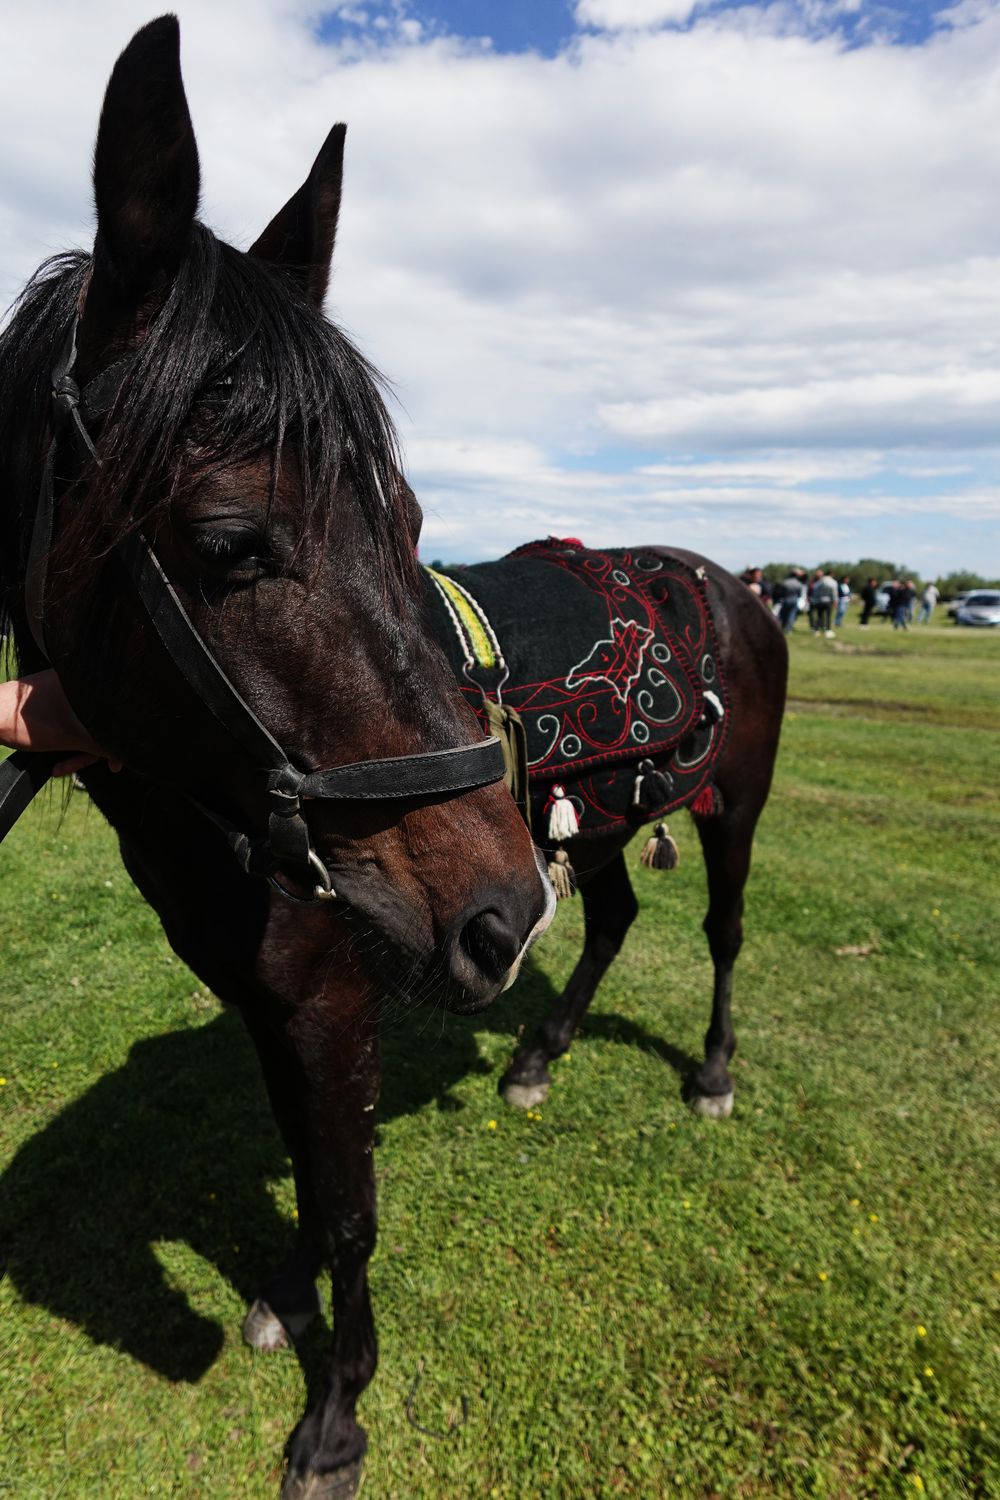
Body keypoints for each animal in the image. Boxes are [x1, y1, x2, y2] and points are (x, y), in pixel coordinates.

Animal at [0, 19, 552, 1500]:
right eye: (232, 542)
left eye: (409, 519)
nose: (504, 911)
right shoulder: (273, 1007)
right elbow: (310, 1175)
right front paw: (284, 1302)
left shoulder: (333, 1007)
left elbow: (351, 1209)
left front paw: (337, 1409)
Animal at [420, 541, 788, 1119]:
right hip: (596, 824)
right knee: (615, 917)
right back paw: (537, 1056)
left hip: (736, 806)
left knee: (724, 930)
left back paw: (714, 1070)